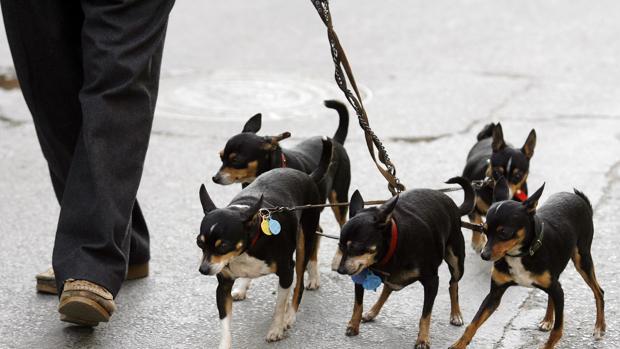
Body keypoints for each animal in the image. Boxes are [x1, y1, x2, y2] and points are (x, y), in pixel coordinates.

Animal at [199, 138, 334, 346]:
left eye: (223, 246)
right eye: (200, 243)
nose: (203, 270)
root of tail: (306, 176)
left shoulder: (286, 272)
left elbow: (279, 305)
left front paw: (276, 328)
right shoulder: (223, 286)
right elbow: (225, 324)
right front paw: (225, 344)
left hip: (305, 242)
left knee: (299, 284)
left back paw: (290, 315)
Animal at [334, 177, 474, 348]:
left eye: (357, 248)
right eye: (340, 246)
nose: (340, 270)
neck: (391, 249)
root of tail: (453, 206)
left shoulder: (432, 282)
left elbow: (425, 315)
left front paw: (423, 339)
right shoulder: (361, 276)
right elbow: (357, 304)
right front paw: (353, 325)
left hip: (456, 262)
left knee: (453, 284)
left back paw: (455, 314)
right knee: (388, 287)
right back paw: (372, 312)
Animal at [450, 178, 604, 346]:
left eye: (504, 232)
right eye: (484, 230)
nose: (484, 255)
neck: (519, 255)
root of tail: (577, 197)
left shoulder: (558, 291)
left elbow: (556, 333)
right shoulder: (494, 294)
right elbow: (472, 325)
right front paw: (458, 344)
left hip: (582, 261)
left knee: (599, 292)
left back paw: (599, 327)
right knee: (553, 295)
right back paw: (548, 320)